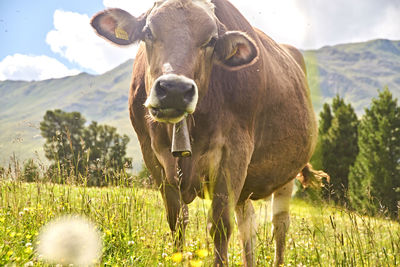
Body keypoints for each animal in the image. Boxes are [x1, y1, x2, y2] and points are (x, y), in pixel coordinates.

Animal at [91, 1, 318, 266]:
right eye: (147, 32)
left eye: (211, 40)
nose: (175, 89)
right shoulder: (152, 157)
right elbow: (177, 222)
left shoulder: (234, 152)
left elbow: (220, 226)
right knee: (247, 223)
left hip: (286, 174)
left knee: (279, 224)